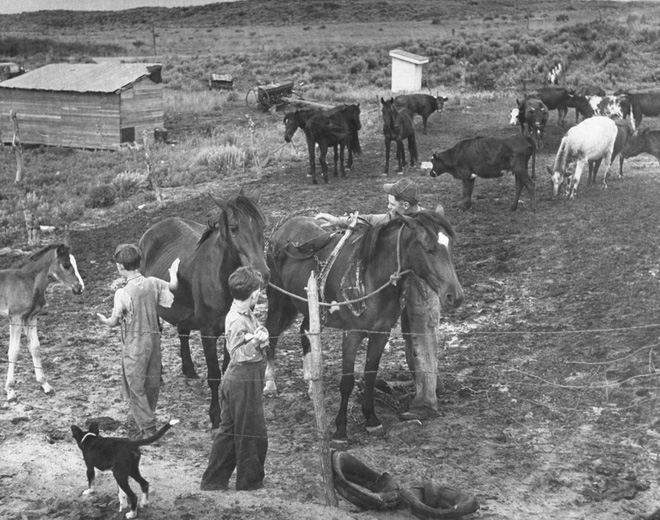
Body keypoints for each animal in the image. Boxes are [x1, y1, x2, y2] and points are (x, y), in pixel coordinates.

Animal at [139, 193, 268, 428]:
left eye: (262, 226)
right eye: (234, 228)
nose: (262, 273)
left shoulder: (232, 330)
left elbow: (227, 368)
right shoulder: (208, 333)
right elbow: (215, 374)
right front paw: (215, 414)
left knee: (183, 333)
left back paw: (188, 369)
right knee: (155, 333)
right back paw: (158, 372)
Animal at [264, 211, 464, 442]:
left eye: (451, 248)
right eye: (429, 249)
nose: (455, 296)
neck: (371, 274)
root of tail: (281, 229)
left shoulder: (381, 333)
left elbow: (370, 376)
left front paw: (371, 420)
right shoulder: (352, 334)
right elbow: (347, 382)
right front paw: (340, 430)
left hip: (311, 308)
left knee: (305, 333)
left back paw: (311, 384)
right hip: (278, 299)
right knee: (271, 335)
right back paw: (270, 384)